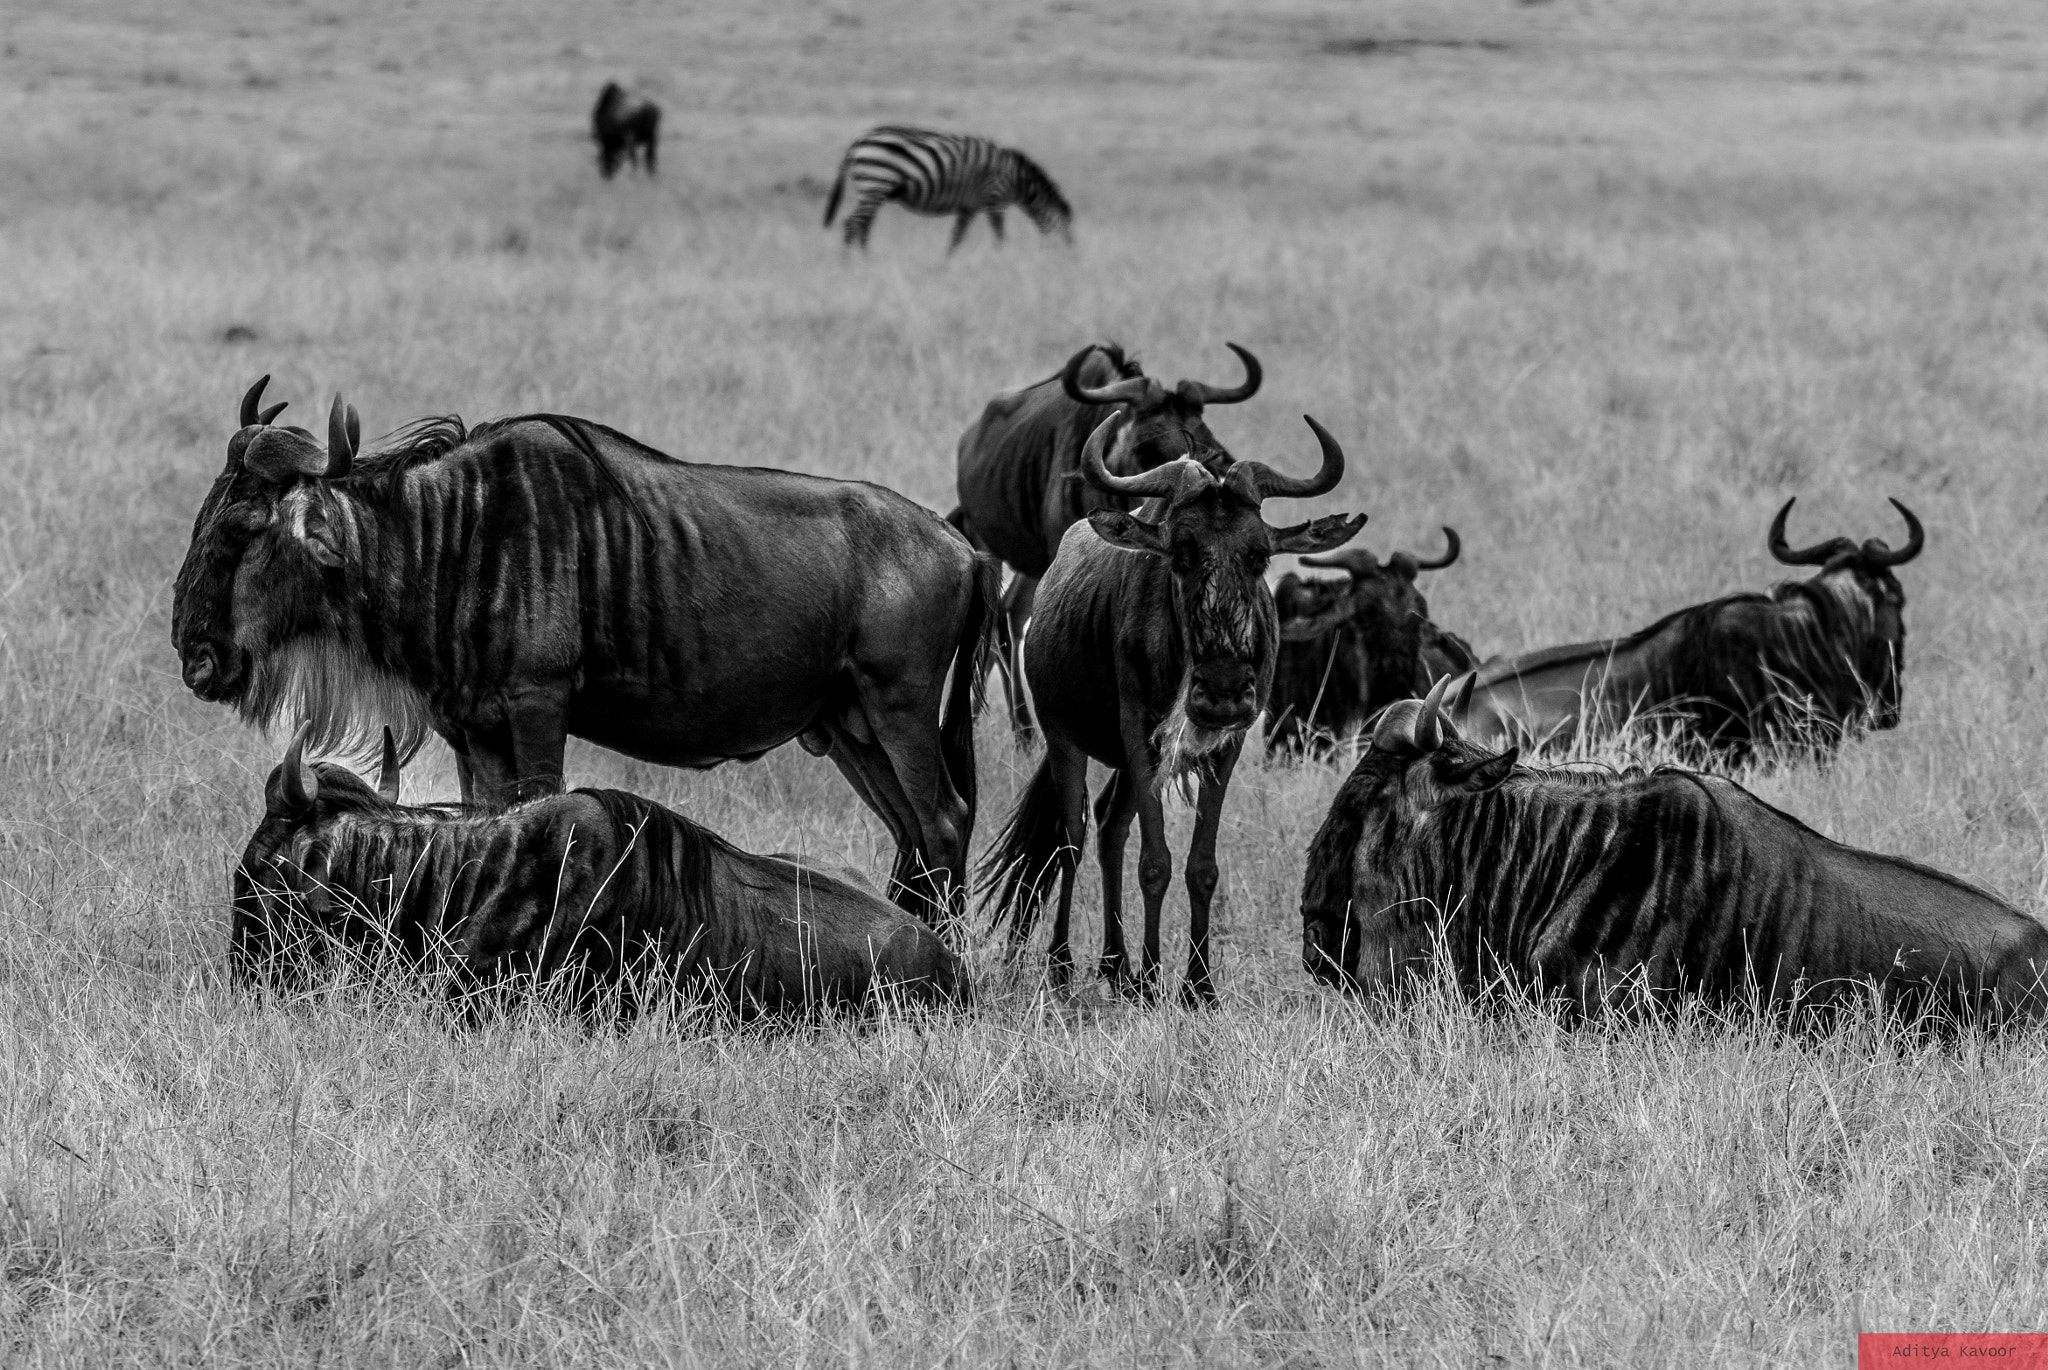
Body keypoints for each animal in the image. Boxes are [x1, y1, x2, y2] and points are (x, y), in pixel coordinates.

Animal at [819, 124, 1073, 252]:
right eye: (1068, 237)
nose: (1073, 263)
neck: (1018, 179)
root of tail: (857, 141)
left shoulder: (969, 207)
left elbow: (956, 238)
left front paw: (946, 264)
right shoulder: (994, 199)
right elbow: (999, 236)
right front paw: (1001, 259)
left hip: (874, 189)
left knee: (863, 225)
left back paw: (866, 260)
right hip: (875, 182)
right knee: (853, 224)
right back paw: (851, 264)